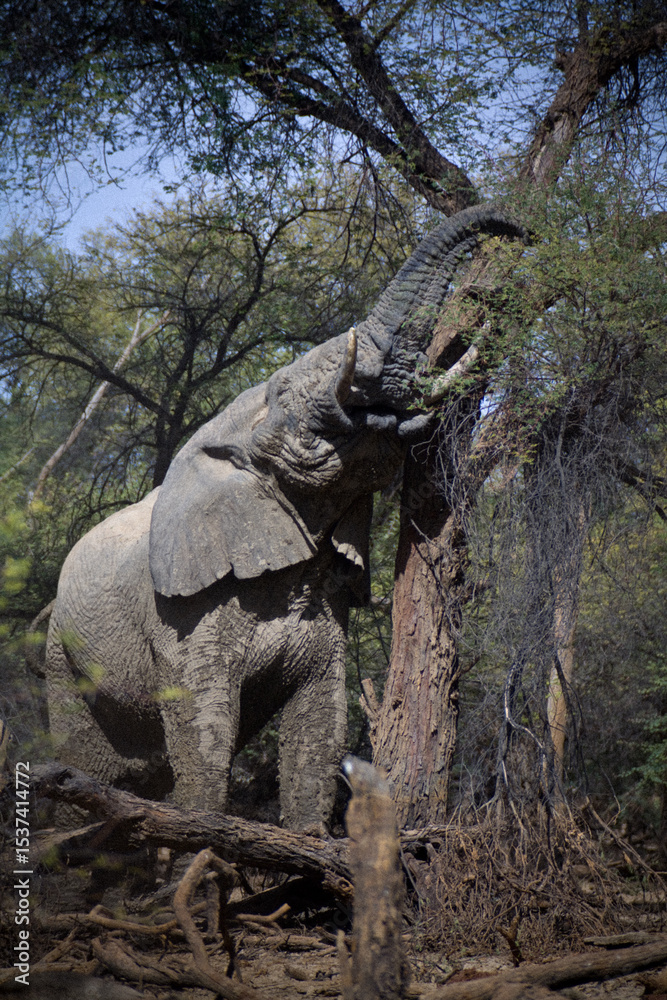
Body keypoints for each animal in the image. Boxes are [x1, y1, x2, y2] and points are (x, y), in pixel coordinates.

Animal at [45, 205, 524, 832]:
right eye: (287, 388)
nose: (520, 231)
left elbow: (321, 720)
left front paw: (307, 841)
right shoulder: (185, 613)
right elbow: (206, 723)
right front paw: (202, 836)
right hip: (60, 655)